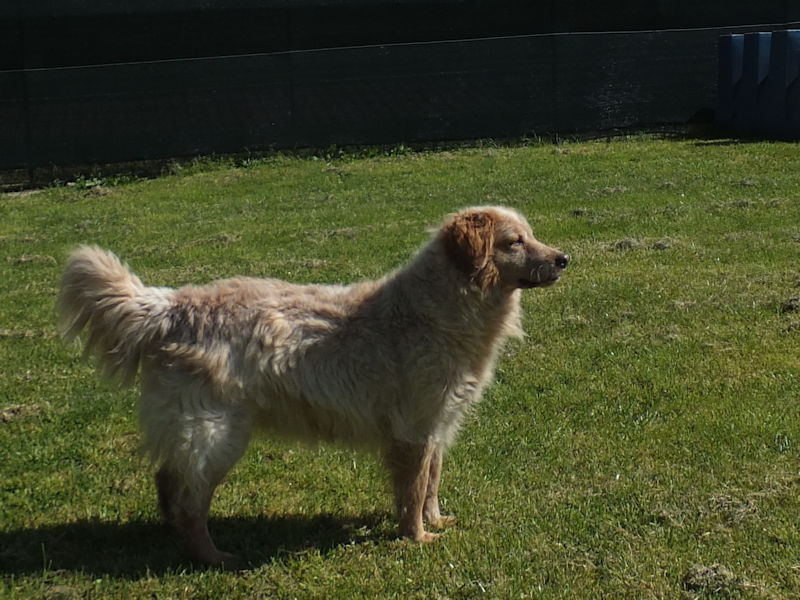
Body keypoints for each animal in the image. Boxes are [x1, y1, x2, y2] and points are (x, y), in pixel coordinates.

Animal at [58, 206, 568, 565]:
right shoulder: (413, 431)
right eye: (515, 242)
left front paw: (437, 521)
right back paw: (213, 557)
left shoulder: (438, 426)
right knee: (188, 502)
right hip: (216, 437)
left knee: (168, 482)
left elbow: (431, 486)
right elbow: (413, 491)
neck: (436, 310)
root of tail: (170, 306)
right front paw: (417, 538)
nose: (565, 259)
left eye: (532, 235)